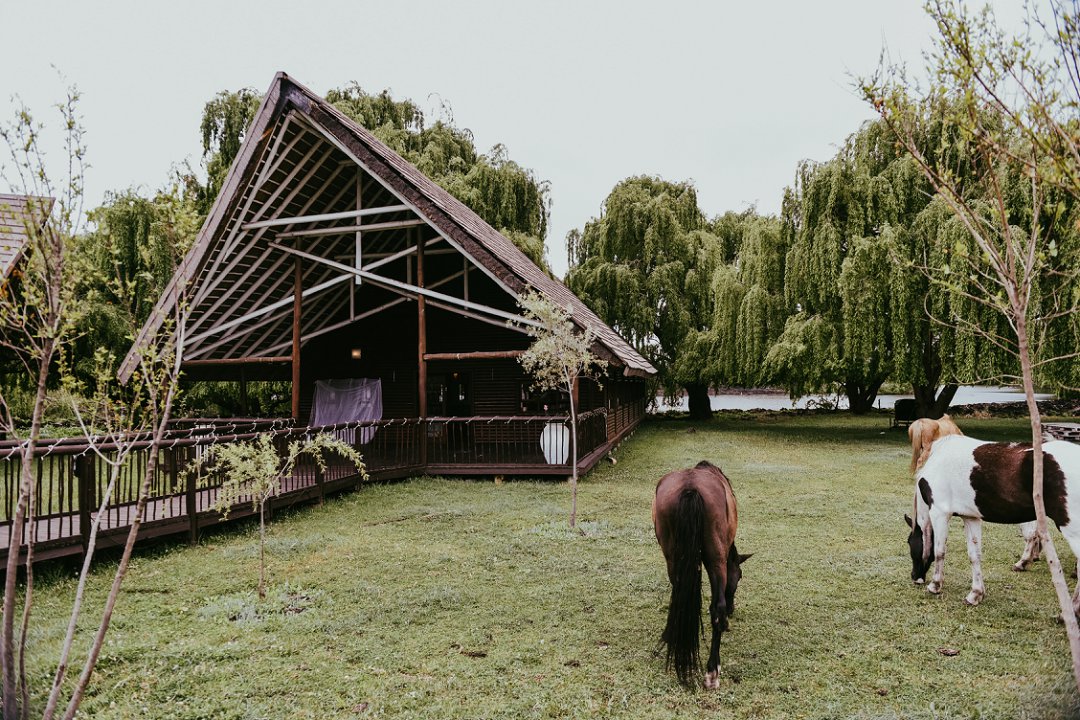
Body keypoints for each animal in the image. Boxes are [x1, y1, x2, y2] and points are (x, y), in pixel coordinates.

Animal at [648, 464, 751, 690]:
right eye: (739, 576)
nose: (732, 611)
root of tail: (690, 488)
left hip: (672, 554)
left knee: (678, 594)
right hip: (716, 557)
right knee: (718, 607)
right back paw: (713, 670)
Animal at [902, 433, 1080, 608]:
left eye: (909, 542)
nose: (914, 577)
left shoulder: (939, 513)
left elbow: (939, 552)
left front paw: (935, 585)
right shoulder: (970, 517)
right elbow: (974, 556)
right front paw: (975, 594)